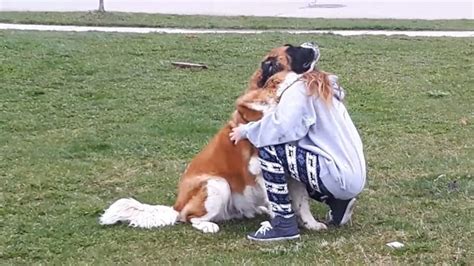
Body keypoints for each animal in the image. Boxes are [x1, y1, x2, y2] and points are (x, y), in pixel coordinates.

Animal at [96, 42, 326, 234]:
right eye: (293, 49)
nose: (313, 42)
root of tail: (176, 205)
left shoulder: (294, 174)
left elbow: (302, 203)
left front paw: (311, 224)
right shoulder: (260, 170)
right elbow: (277, 202)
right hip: (217, 184)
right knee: (189, 217)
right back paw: (207, 225)